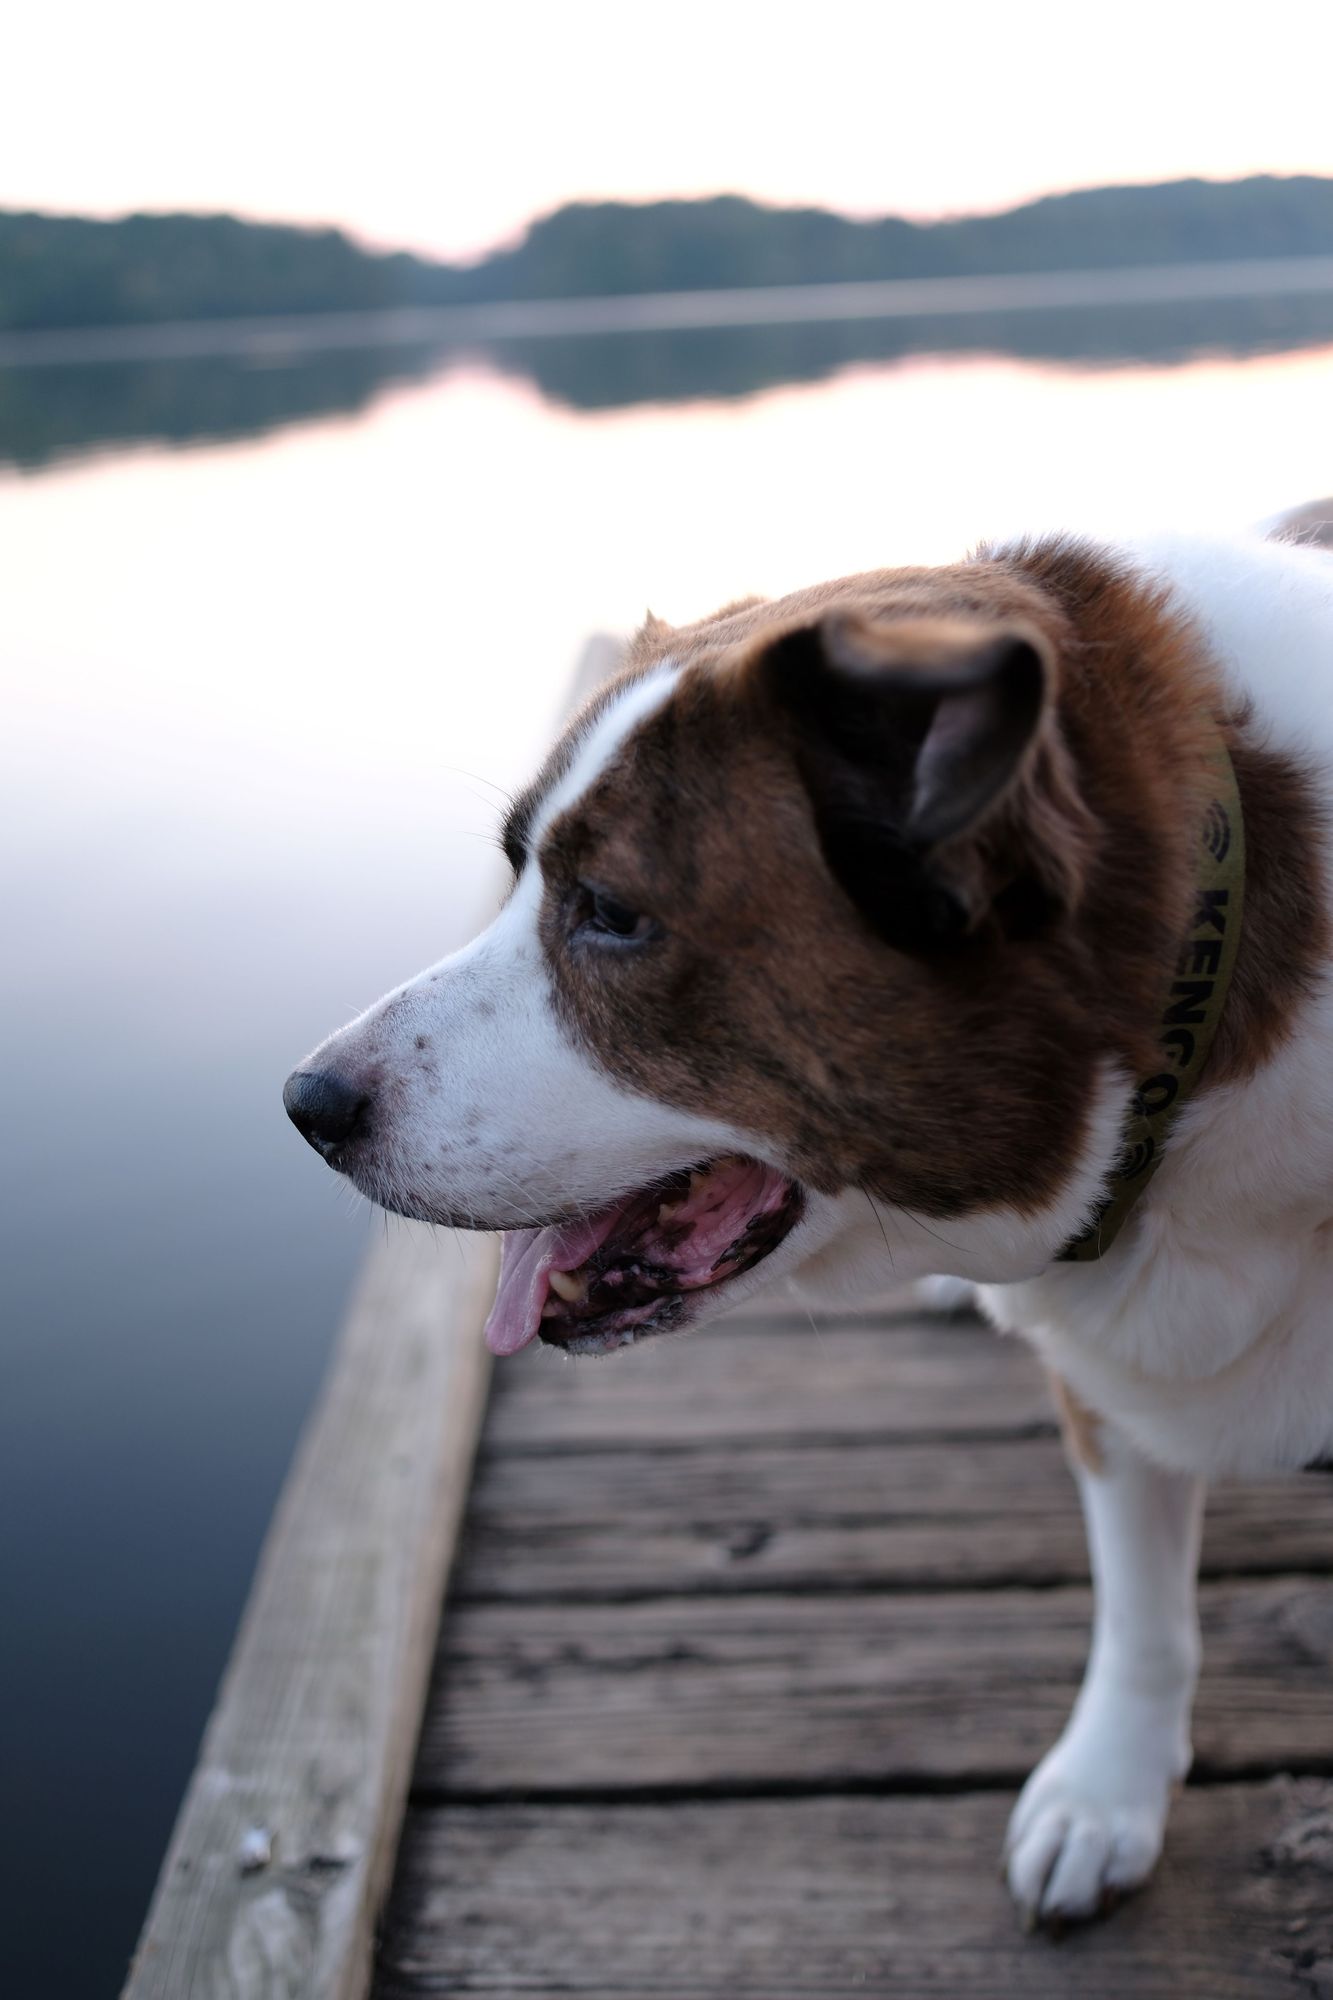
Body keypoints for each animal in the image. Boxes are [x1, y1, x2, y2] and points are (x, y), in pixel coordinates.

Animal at [282, 508, 1328, 1928]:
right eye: (514, 876)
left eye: (609, 914)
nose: (306, 1102)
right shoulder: (1108, 1398)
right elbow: (1142, 1607)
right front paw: (1109, 1785)